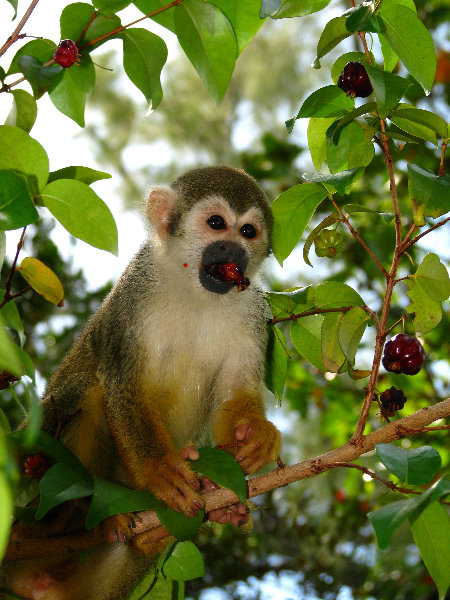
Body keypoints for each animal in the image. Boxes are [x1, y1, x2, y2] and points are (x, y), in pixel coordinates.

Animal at [2, 165, 282, 600]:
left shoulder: (253, 309)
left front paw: (256, 436)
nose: (233, 251)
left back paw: (172, 527)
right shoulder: (133, 295)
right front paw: (158, 469)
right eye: (216, 224)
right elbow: (122, 383)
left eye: (248, 231)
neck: (195, 292)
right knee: (85, 391)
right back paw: (78, 518)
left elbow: (235, 394)